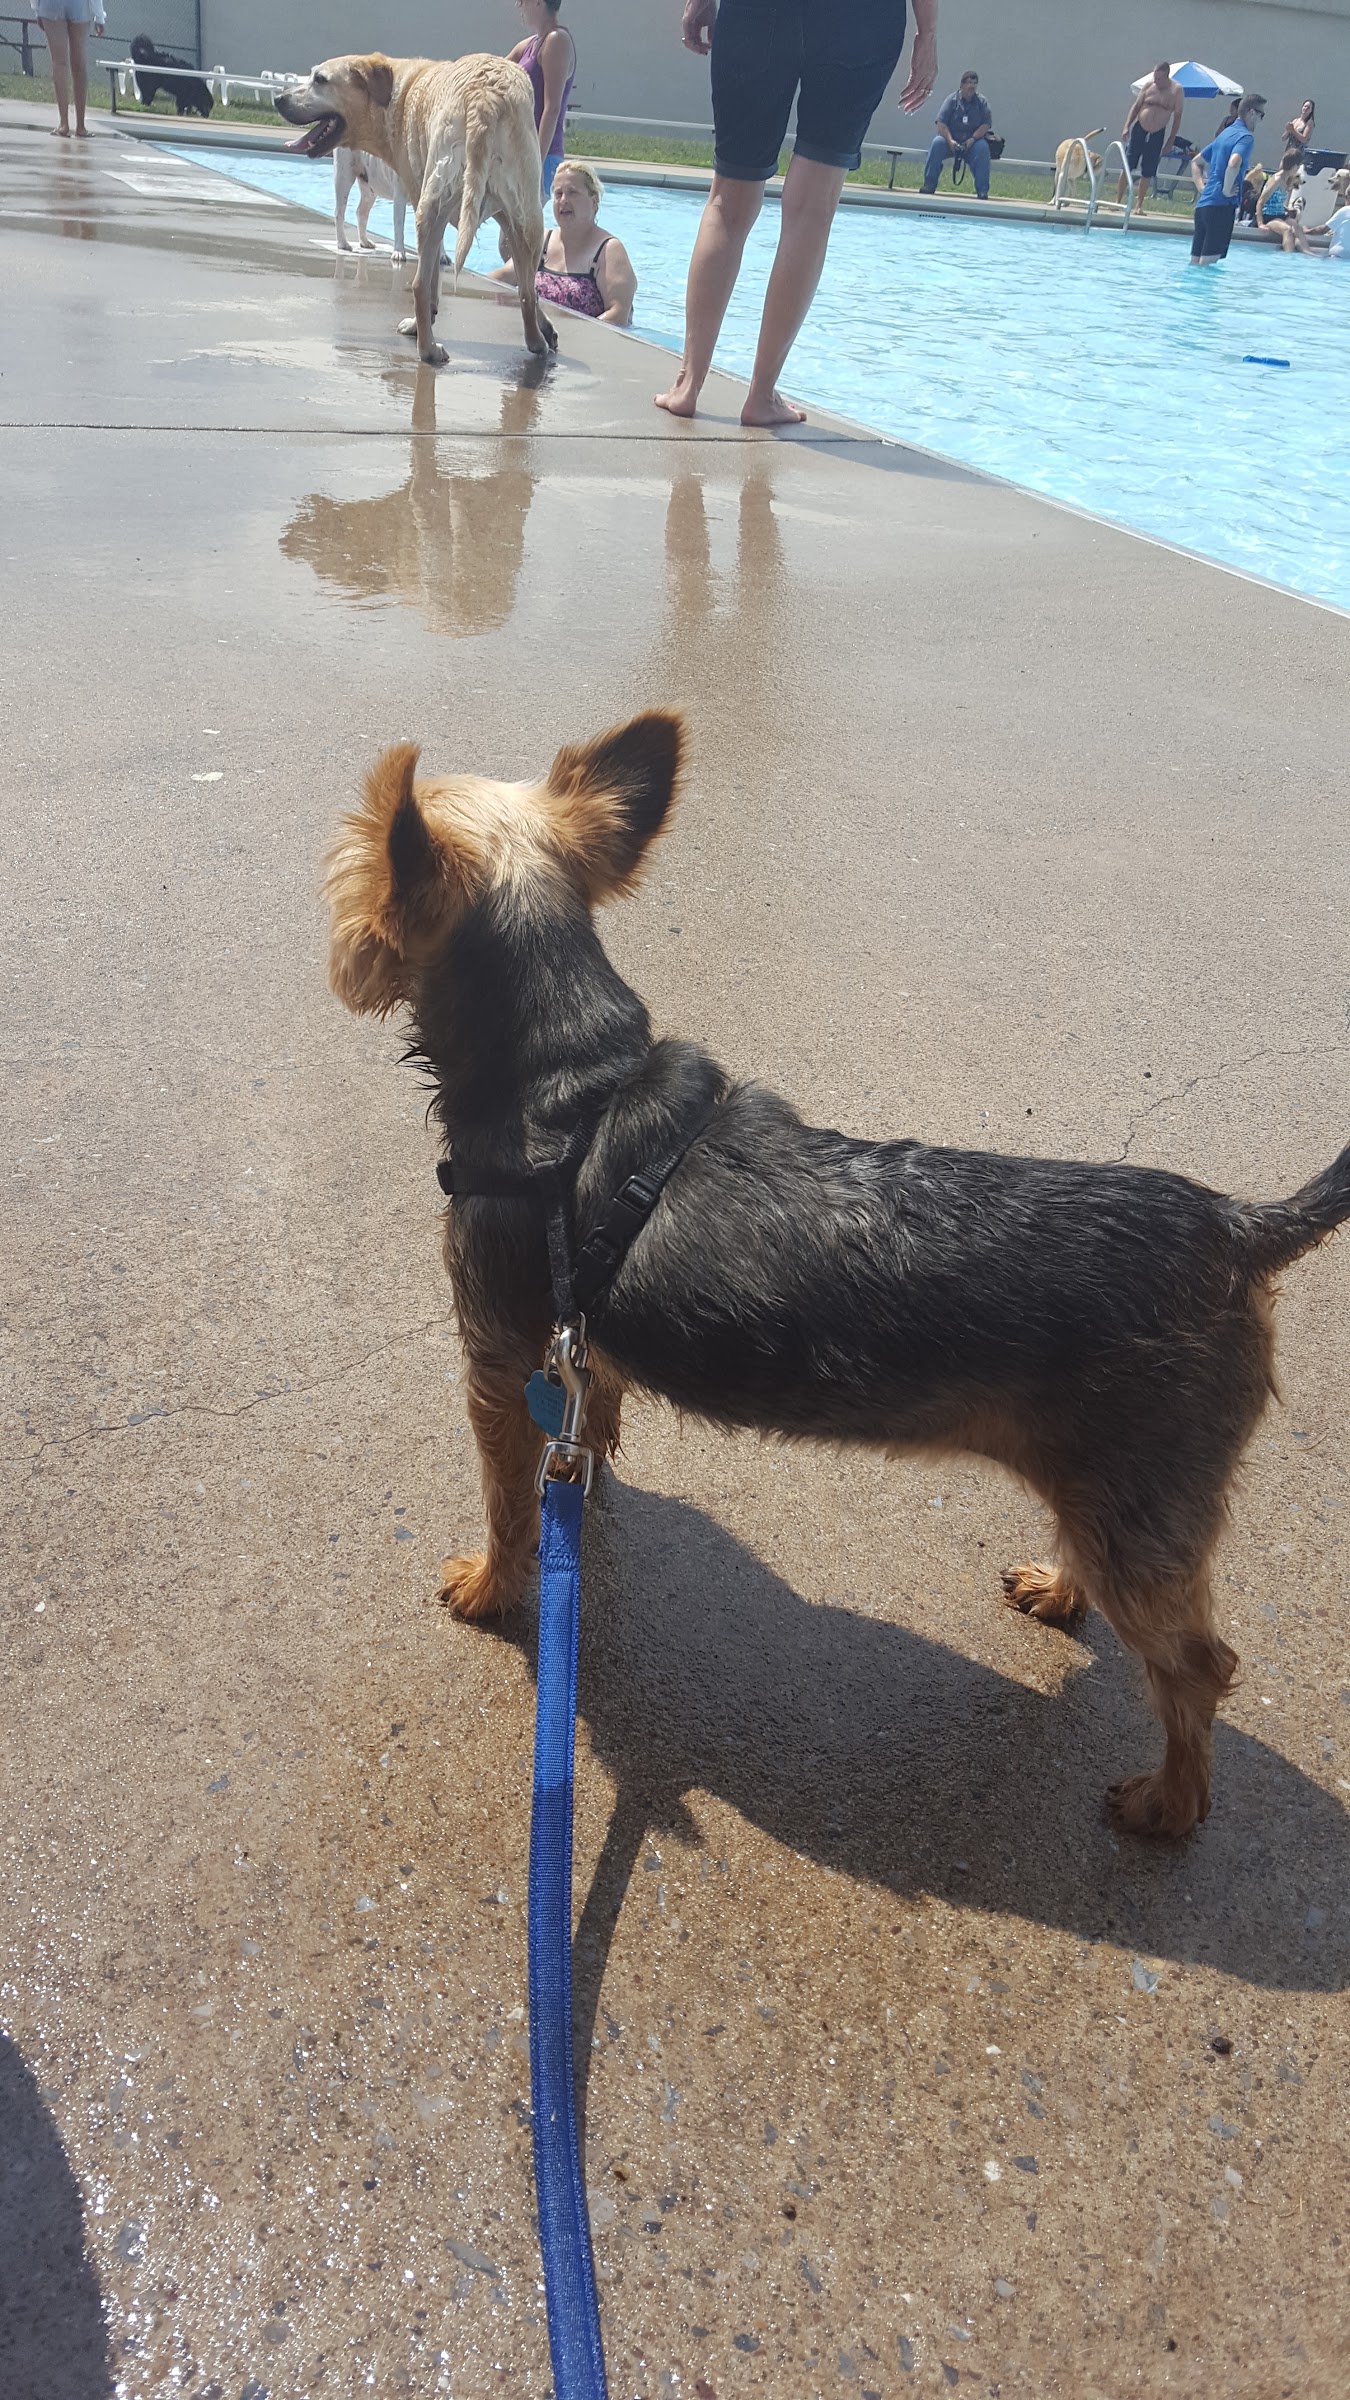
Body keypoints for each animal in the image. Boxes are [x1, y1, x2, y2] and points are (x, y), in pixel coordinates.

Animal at [277, 51, 554, 367]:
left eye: (320, 79)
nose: (278, 98)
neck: (396, 93)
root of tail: (486, 96)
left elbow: (431, 278)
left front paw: (419, 324)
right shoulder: (506, 216)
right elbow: (525, 285)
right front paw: (544, 327)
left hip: (433, 201)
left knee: (419, 284)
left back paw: (429, 349)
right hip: (528, 211)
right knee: (526, 286)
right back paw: (535, 342)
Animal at [324, 710, 1350, 1843]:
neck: (570, 1089)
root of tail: (1238, 1227)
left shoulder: (497, 1362)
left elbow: (510, 1501)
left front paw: (492, 1585)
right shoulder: (575, 1344)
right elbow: (588, 1428)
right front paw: (580, 1491)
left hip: (1145, 1494)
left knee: (1199, 1667)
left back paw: (1169, 1802)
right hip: (1110, 1487)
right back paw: (1060, 1591)